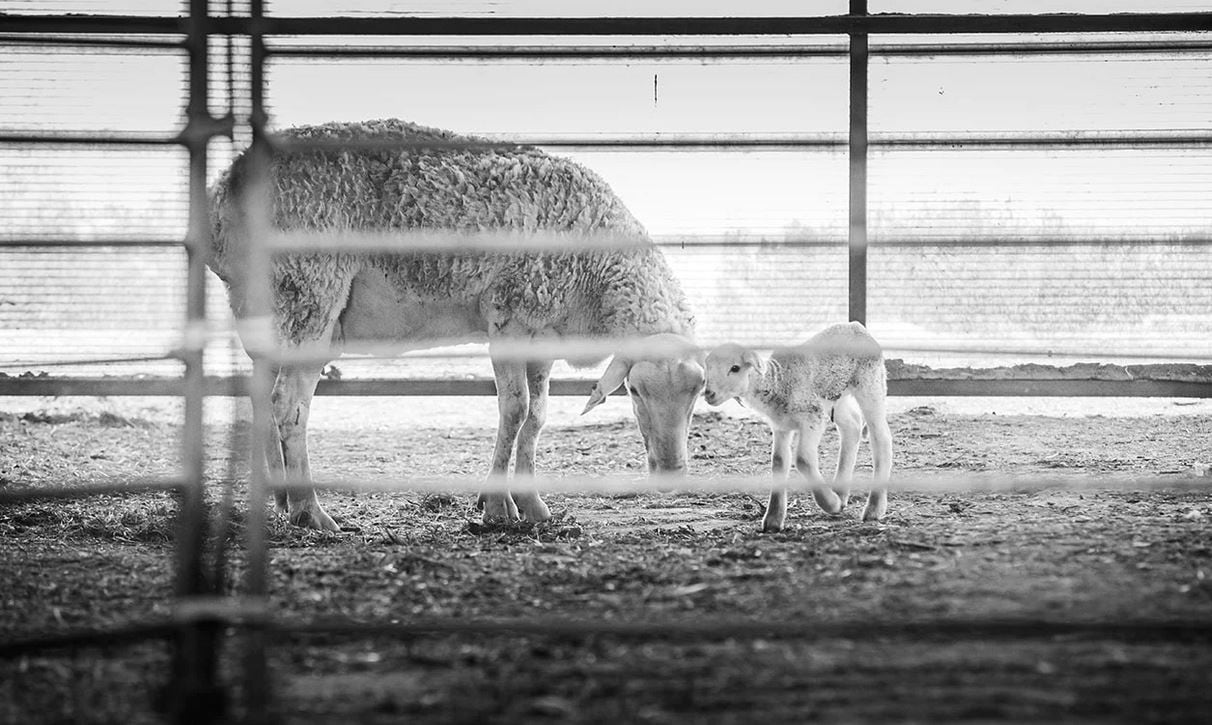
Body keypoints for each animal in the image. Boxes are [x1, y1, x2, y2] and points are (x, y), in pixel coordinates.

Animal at [207, 120, 702, 533]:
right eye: (634, 391)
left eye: (696, 394)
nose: (671, 472)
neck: (598, 270)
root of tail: (227, 188)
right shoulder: (509, 315)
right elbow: (515, 410)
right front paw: (497, 506)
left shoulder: (541, 330)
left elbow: (537, 418)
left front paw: (533, 506)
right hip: (312, 288)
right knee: (288, 403)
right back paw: (311, 511)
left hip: (271, 307)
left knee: (262, 394)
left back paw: (282, 501)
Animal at [702, 324, 892, 533]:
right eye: (708, 368)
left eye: (735, 368)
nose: (708, 394)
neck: (778, 382)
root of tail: (857, 326)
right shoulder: (781, 426)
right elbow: (779, 461)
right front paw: (773, 520)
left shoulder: (812, 417)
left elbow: (803, 459)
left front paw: (831, 504)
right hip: (834, 398)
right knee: (853, 425)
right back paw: (841, 494)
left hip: (871, 382)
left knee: (881, 437)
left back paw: (873, 508)